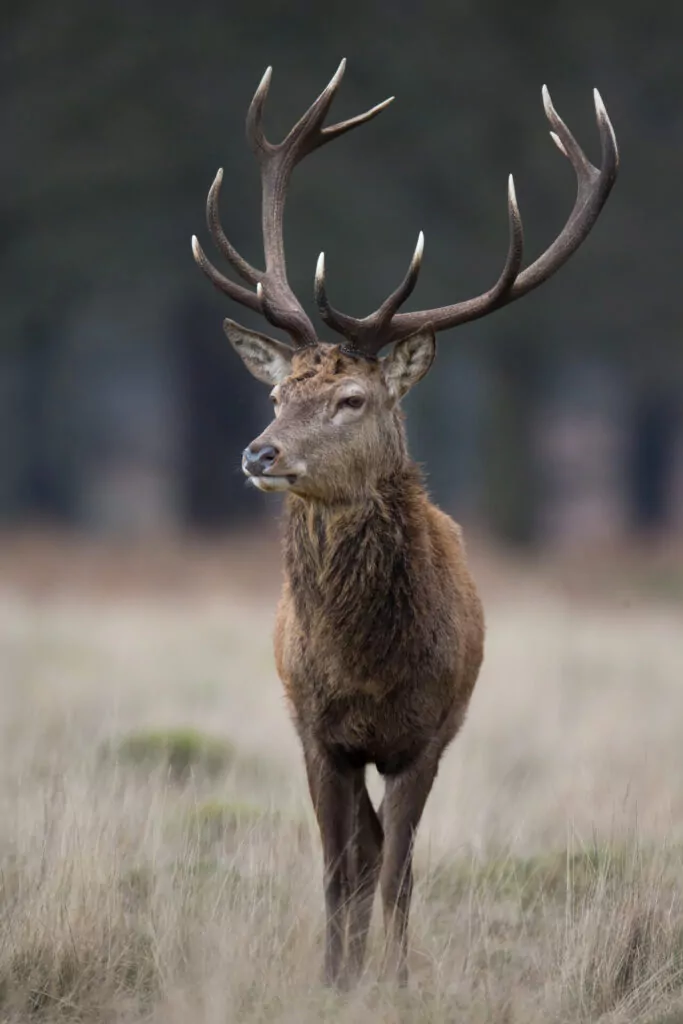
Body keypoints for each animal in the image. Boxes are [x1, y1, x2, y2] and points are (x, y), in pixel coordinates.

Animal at [191, 60, 618, 986]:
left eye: (351, 400)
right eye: (278, 393)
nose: (257, 452)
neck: (367, 666)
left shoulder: (425, 738)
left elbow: (395, 874)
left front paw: (390, 981)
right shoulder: (318, 734)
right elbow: (337, 870)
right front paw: (332, 980)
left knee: (391, 857)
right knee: (358, 853)